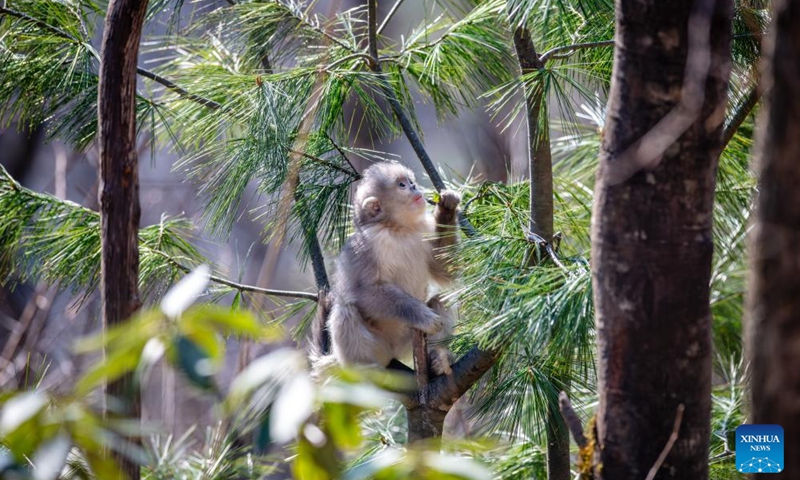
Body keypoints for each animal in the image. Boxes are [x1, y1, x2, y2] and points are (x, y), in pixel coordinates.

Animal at [322, 162, 461, 377]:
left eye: (410, 181)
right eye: (402, 185)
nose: (414, 187)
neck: (398, 229)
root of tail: (394, 352)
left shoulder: (425, 229)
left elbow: (447, 270)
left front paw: (447, 207)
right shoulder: (366, 244)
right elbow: (365, 290)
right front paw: (424, 317)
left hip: (408, 344)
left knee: (443, 299)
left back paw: (437, 359)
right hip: (380, 348)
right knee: (345, 309)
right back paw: (362, 369)